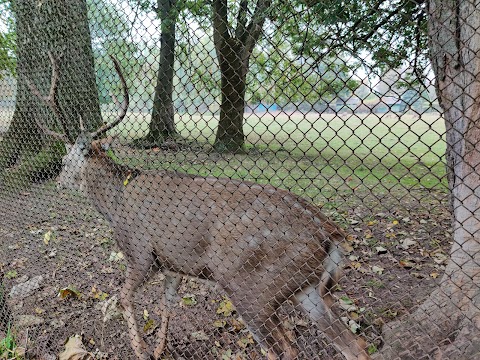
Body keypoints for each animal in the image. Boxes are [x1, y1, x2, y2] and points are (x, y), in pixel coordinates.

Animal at [27, 53, 372, 360]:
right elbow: (167, 303)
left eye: (64, 161)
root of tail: (329, 234)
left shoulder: (140, 252)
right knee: (354, 343)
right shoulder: (173, 263)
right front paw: (159, 350)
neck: (114, 203)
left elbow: (123, 299)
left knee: (286, 349)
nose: (59, 183)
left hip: (250, 286)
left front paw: (140, 351)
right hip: (308, 289)